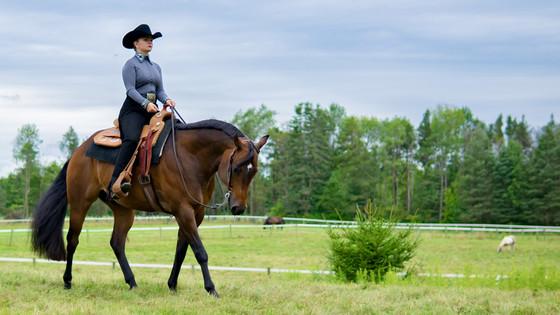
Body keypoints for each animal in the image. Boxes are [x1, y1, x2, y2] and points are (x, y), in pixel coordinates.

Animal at [30, 117, 270, 298]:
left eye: (255, 171)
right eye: (237, 168)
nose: (238, 207)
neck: (189, 157)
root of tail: (78, 152)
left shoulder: (195, 213)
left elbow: (182, 250)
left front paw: (172, 285)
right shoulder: (183, 211)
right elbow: (200, 252)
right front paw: (211, 289)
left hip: (123, 210)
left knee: (117, 243)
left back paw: (132, 282)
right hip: (80, 203)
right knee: (72, 240)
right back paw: (67, 281)